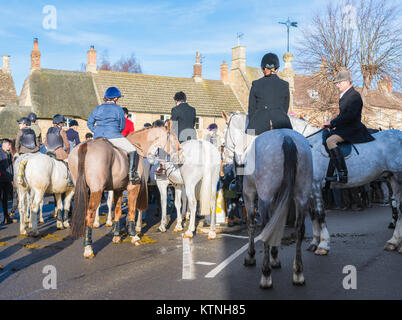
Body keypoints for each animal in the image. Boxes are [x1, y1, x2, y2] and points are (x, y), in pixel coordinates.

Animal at [69, 126, 182, 258]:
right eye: (174, 139)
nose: (181, 156)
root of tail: (85, 145)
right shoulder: (134, 188)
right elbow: (132, 210)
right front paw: (134, 235)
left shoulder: (118, 189)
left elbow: (118, 211)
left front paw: (117, 235)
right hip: (96, 190)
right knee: (90, 213)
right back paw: (88, 248)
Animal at [223, 112, 314, 288]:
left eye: (225, 130)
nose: (223, 150)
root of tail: (286, 138)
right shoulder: (277, 198)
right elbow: (277, 223)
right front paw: (275, 256)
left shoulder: (249, 194)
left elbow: (252, 224)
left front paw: (251, 256)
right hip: (301, 196)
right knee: (299, 229)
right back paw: (298, 273)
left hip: (263, 196)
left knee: (265, 227)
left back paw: (265, 276)